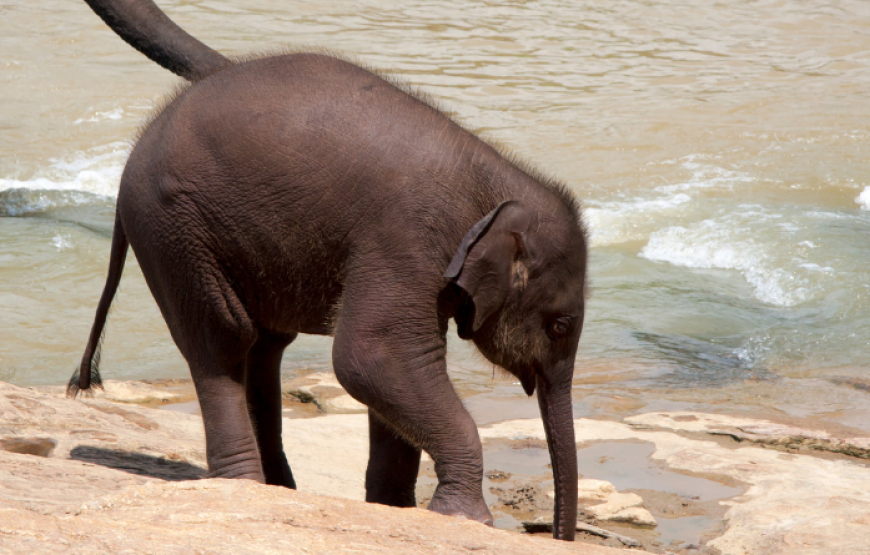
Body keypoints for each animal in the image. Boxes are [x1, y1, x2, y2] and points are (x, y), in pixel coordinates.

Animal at [68, 0, 584, 540]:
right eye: (559, 325)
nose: (557, 535)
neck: (497, 185)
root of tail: (141, 139)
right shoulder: (403, 239)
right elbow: (374, 357)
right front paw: (466, 518)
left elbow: (396, 367)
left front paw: (393, 508)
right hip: (173, 228)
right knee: (223, 340)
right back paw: (245, 487)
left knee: (264, 345)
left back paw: (279, 487)